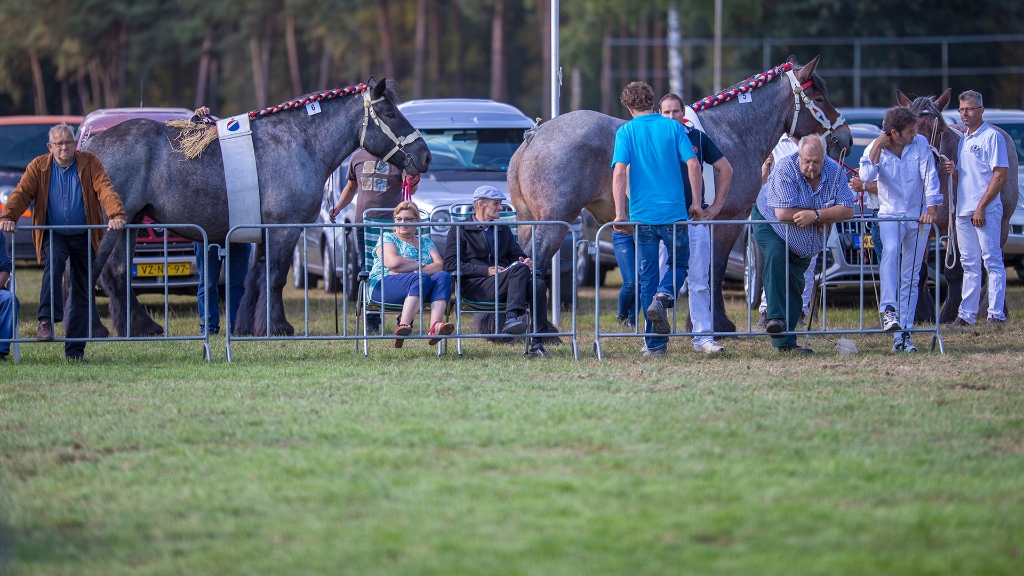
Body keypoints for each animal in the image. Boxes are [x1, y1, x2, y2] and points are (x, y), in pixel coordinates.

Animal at [82, 77, 428, 336]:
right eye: (391, 114)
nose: (424, 156)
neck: (299, 142)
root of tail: (88, 146)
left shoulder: (262, 232)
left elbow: (256, 278)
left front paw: (247, 326)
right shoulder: (284, 228)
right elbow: (275, 276)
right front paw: (277, 326)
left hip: (130, 224)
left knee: (117, 274)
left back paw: (141, 327)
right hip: (108, 227)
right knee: (94, 270)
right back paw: (94, 330)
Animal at [507, 57, 851, 332]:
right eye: (819, 96)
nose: (845, 137)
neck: (734, 132)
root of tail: (535, 135)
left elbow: (701, 273)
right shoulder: (729, 220)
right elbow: (715, 270)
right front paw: (719, 324)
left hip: (529, 223)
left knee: (521, 263)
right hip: (553, 225)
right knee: (534, 266)